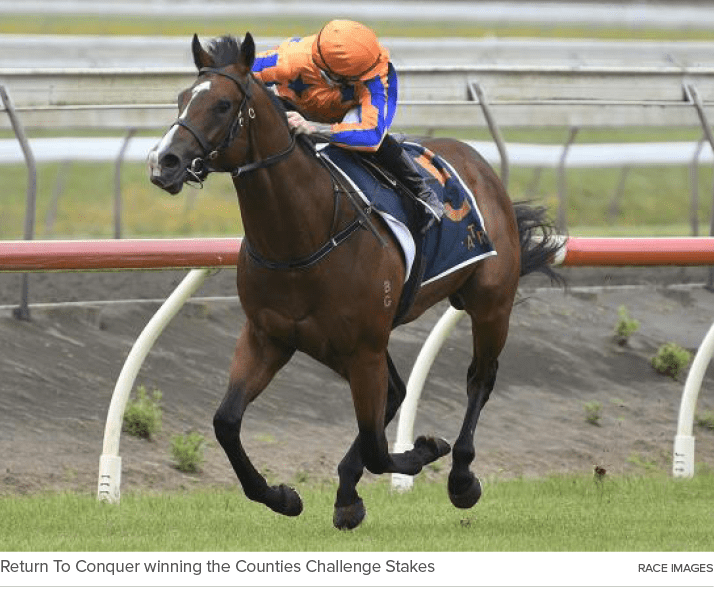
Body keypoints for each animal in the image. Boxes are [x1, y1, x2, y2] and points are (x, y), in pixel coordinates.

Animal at [149, 32, 560, 528]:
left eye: (223, 105)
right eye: (182, 99)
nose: (165, 162)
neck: (301, 238)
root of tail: (479, 163)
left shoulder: (363, 348)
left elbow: (380, 449)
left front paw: (425, 449)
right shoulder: (269, 337)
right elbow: (226, 423)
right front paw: (282, 496)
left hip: (489, 305)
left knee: (479, 379)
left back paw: (461, 476)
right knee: (398, 393)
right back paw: (348, 491)